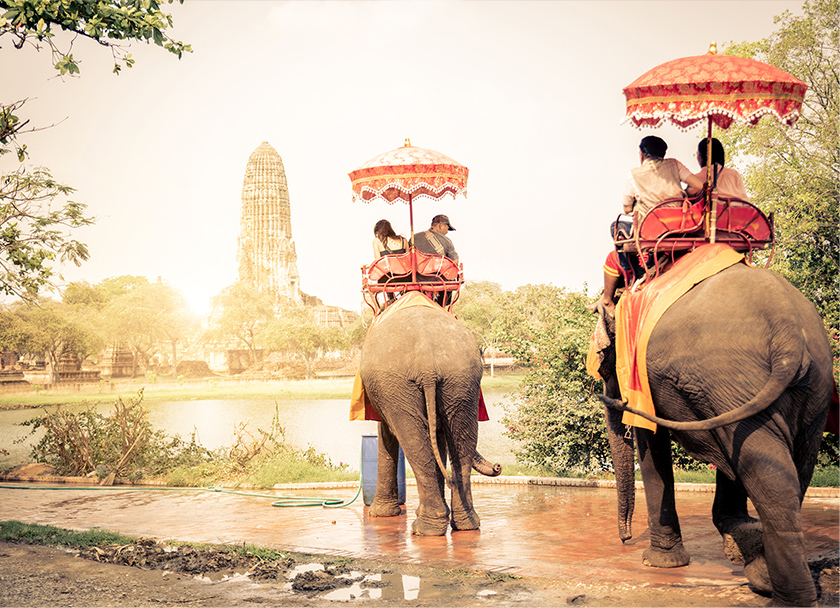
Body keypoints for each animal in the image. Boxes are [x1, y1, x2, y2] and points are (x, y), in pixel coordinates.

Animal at [360, 302, 498, 536]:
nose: (498, 467)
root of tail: (427, 363)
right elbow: (440, 437)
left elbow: (387, 432)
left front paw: (379, 515)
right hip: (460, 380)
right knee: (461, 438)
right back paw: (464, 524)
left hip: (398, 385)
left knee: (412, 439)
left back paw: (425, 529)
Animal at [596, 262, 832, 608]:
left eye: (604, 368)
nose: (625, 539)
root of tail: (787, 327)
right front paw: (739, 536)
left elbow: (651, 443)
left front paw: (658, 563)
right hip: (806, 387)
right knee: (788, 466)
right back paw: (763, 575)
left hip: (730, 376)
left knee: (763, 469)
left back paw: (780, 595)